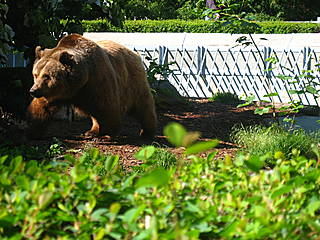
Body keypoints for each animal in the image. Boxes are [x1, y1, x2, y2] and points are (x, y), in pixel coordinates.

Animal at [27, 33, 158, 139]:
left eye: (47, 76)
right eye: (35, 74)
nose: (33, 90)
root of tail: (134, 53)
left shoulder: (97, 81)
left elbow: (107, 107)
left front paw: (106, 135)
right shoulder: (53, 94)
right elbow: (41, 108)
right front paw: (33, 131)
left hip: (132, 82)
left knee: (143, 106)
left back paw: (147, 132)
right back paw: (92, 131)